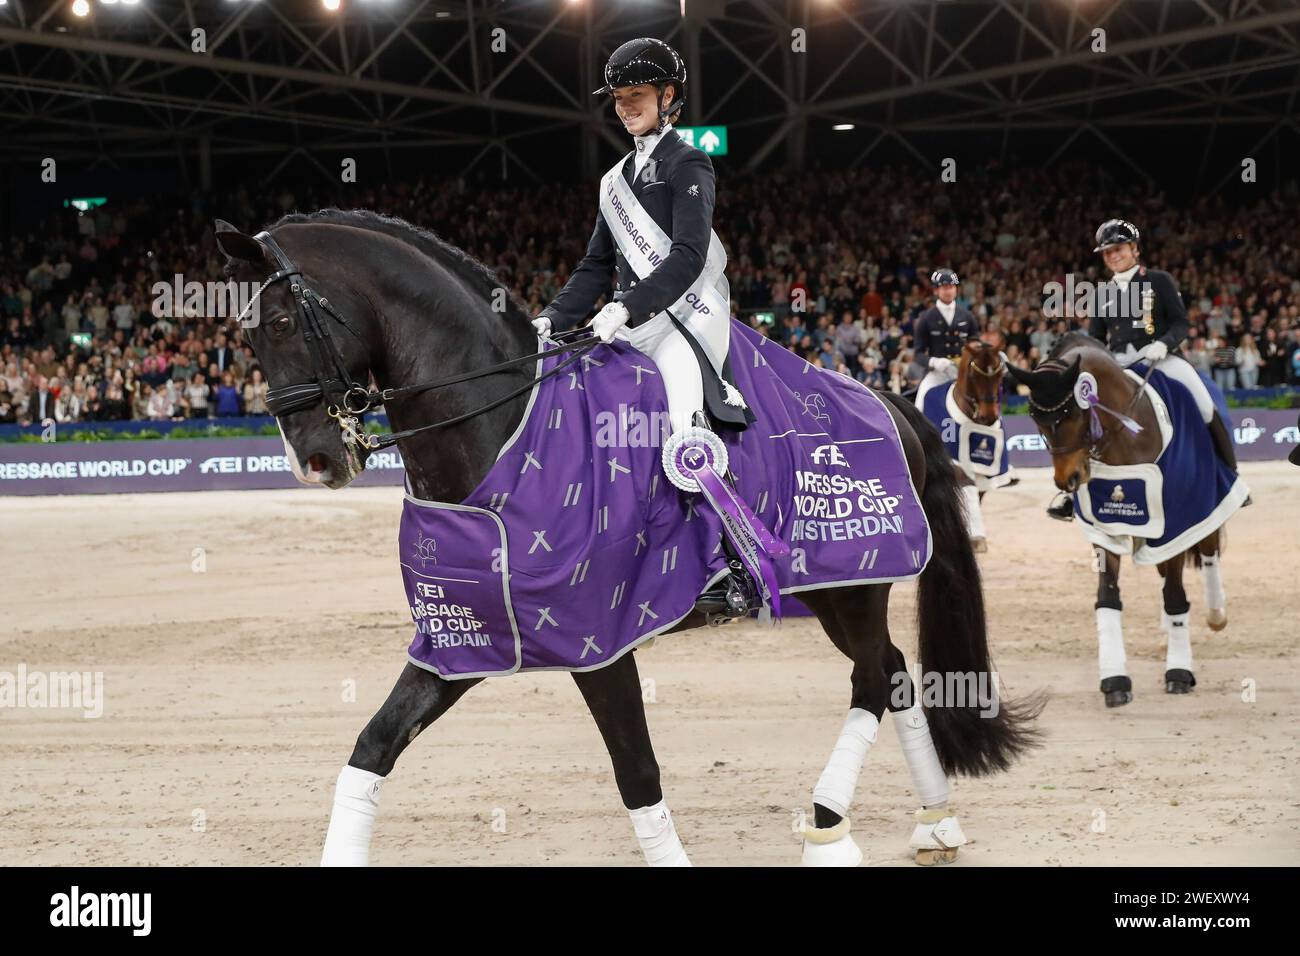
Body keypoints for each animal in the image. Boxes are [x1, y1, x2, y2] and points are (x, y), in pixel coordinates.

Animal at [218, 209, 1040, 868]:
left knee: (872, 680)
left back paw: (830, 830)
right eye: (246, 335)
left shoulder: (600, 645)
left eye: (284, 323)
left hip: (854, 582)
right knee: (895, 673)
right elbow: (373, 747)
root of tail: (885, 400)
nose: (313, 460)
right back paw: (936, 821)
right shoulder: (465, 640)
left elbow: (637, 773)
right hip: (834, 593)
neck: (503, 430)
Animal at [1008, 332, 1232, 707]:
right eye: (1036, 419)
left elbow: (1175, 595)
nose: (1068, 480)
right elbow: (1108, 598)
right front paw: (1114, 680)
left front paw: (1178, 673)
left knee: (1209, 550)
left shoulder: (1176, 521)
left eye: (1073, 413)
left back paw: (1216, 616)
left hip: (1207, 500)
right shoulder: (1106, 528)